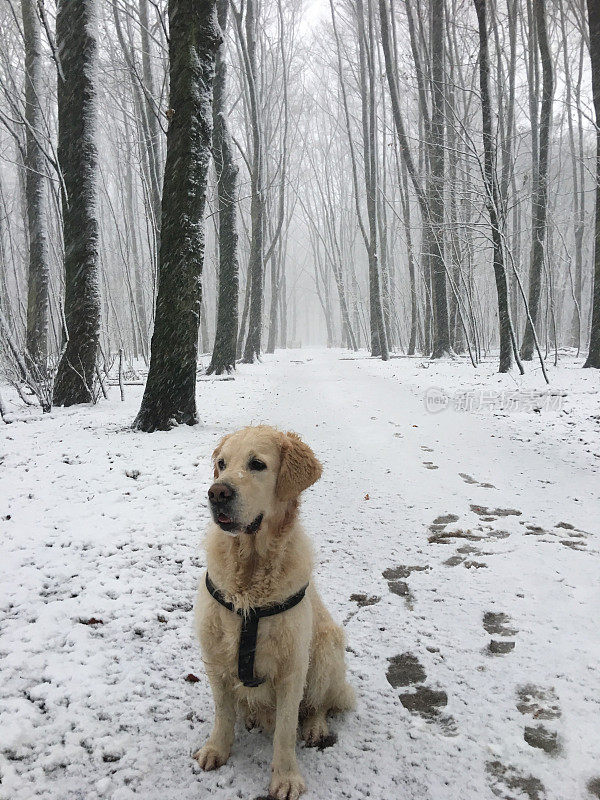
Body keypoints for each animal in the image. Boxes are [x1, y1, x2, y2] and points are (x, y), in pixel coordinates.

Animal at [192, 428, 354, 800]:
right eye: (222, 465)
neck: (250, 569)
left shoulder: (292, 667)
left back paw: (315, 727)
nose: (217, 492)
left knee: (319, 704)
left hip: (325, 651)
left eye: (257, 464)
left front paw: (286, 778)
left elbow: (285, 730)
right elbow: (223, 713)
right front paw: (216, 749)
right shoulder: (216, 657)